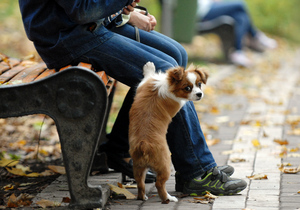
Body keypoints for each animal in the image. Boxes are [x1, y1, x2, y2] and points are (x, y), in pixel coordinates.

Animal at [127, 61, 207, 203]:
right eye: (187, 88)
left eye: (199, 84)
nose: (199, 94)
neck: (169, 87)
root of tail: (144, 145)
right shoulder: (144, 85)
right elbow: (148, 76)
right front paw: (149, 67)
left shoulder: (142, 87)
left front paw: (149, 67)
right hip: (164, 165)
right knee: (159, 184)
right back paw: (169, 198)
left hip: (139, 166)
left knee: (141, 183)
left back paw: (145, 197)